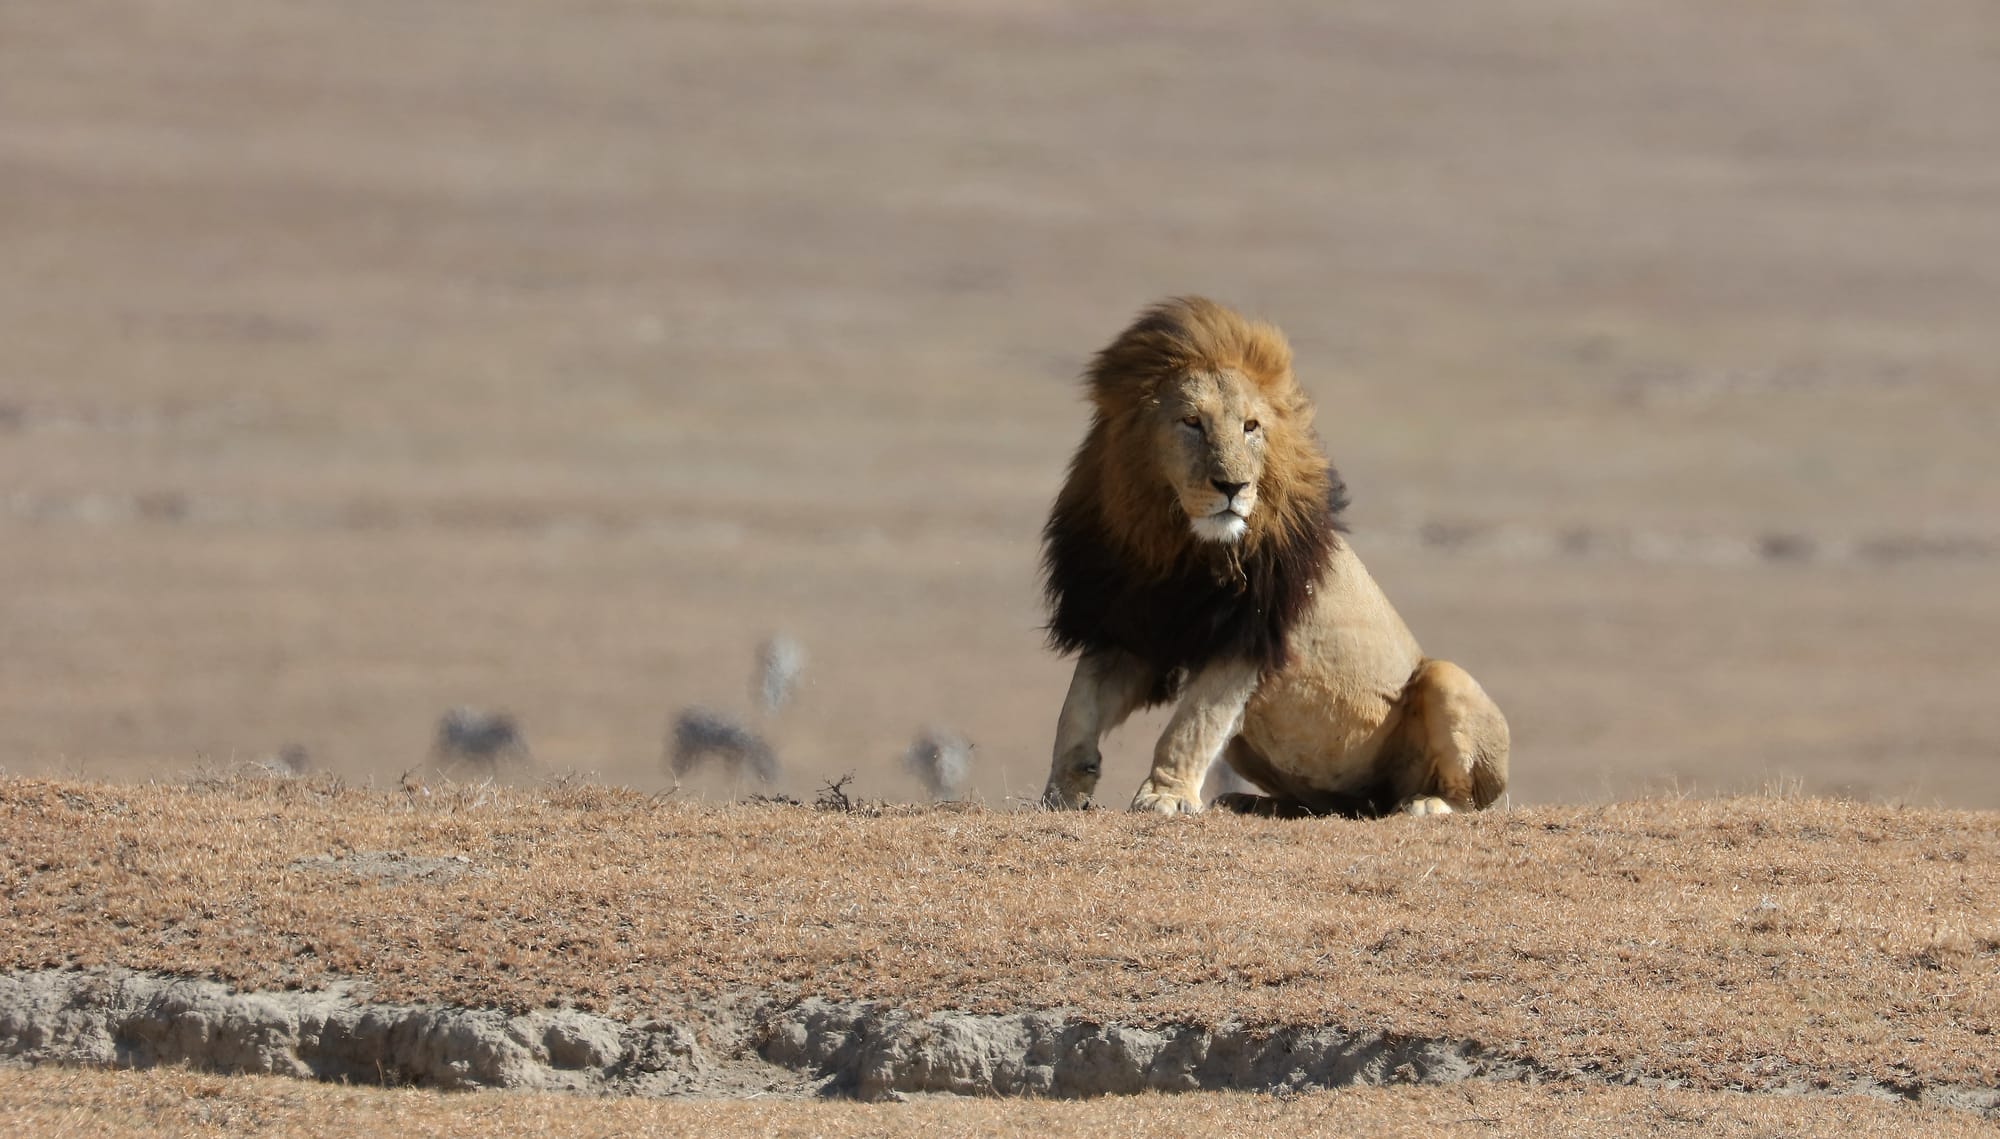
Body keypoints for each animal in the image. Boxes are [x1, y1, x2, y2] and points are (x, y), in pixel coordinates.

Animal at [1048, 297, 1504, 811]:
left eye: (1251, 427)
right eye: (1192, 422)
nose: (1233, 486)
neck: (1173, 544)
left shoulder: (1248, 632)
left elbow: (1191, 726)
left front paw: (1165, 797)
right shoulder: (1129, 622)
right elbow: (1076, 708)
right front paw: (1062, 791)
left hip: (1446, 680)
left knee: (1463, 797)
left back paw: (1426, 803)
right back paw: (1247, 802)